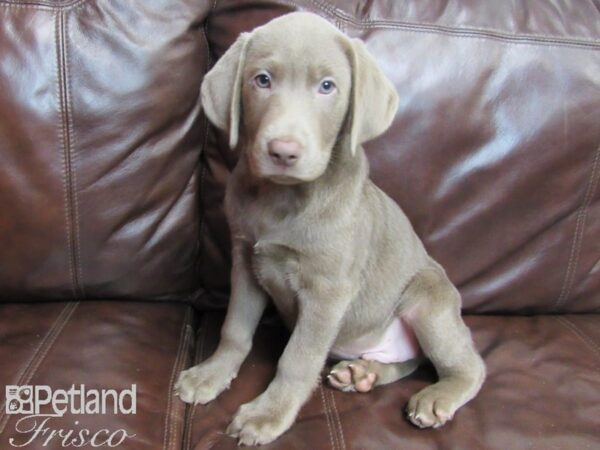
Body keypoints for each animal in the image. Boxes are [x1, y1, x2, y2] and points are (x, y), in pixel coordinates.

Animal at [176, 12, 486, 444]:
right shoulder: (245, 261)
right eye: (262, 80)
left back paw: (435, 397)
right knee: (410, 361)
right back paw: (363, 374)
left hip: (429, 301)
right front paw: (211, 374)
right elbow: (235, 328)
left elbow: (297, 359)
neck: (283, 199)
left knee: (467, 365)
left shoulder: (327, 290)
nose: (283, 151)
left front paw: (268, 414)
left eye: (327, 86)